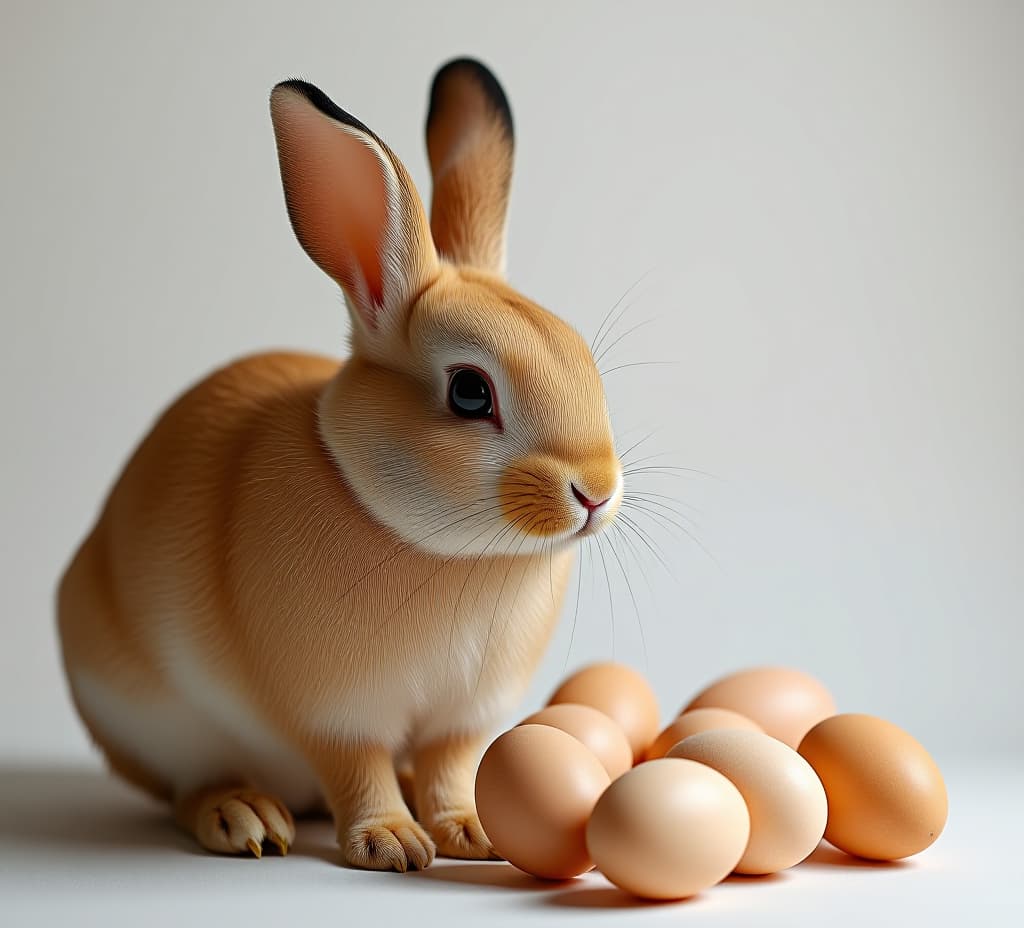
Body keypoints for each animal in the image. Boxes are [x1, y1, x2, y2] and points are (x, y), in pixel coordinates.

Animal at [58, 56, 622, 868]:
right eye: (470, 391)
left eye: (583, 359)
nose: (597, 493)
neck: (457, 554)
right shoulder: (335, 711)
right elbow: (358, 770)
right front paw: (391, 843)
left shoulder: (464, 716)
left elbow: (451, 764)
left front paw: (472, 830)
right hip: (152, 720)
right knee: (189, 785)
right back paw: (243, 818)